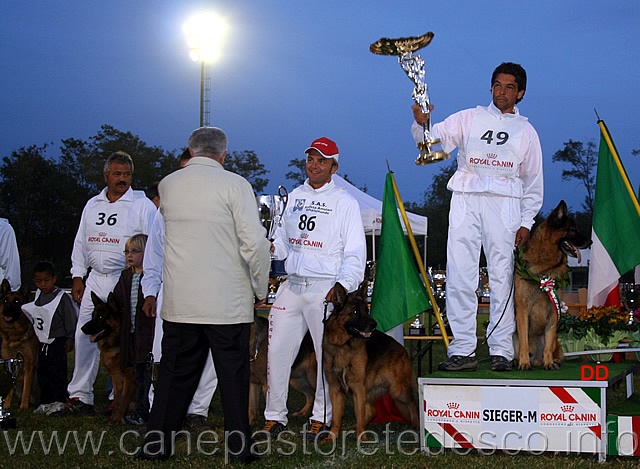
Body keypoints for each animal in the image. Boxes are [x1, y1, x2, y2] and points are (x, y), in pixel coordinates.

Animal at [0, 278, 37, 410]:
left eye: (16, 301)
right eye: (5, 301)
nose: (6, 311)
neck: (15, 336)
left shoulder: (28, 364)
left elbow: (26, 388)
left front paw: (23, 407)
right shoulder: (10, 362)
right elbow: (12, 387)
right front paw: (6, 404)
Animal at [82, 290, 136, 422]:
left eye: (101, 317)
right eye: (92, 316)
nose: (82, 328)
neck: (117, 343)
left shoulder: (130, 378)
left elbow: (123, 400)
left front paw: (118, 420)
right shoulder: (116, 379)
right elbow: (117, 400)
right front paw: (113, 419)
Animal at [320, 282, 420, 438]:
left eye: (367, 311)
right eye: (355, 312)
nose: (374, 324)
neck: (344, 344)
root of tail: (401, 349)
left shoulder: (357, 387)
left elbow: (359, 415)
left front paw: (362, 439)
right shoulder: (335, 389)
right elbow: (336, 418)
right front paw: (331, 438)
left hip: (398, 390)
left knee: (413, 405)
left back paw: (417, 428)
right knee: (372, 411)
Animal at [516, 200, 592, 370]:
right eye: (572, 229)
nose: (590, 241)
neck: (546, 266)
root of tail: (536, 359)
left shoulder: (553, 310)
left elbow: (548, 341)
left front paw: (549, 362)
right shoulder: (522, 309)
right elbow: (523, 341)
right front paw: (524, 362)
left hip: (557, 342)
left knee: (552, 347)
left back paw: (553, 360)